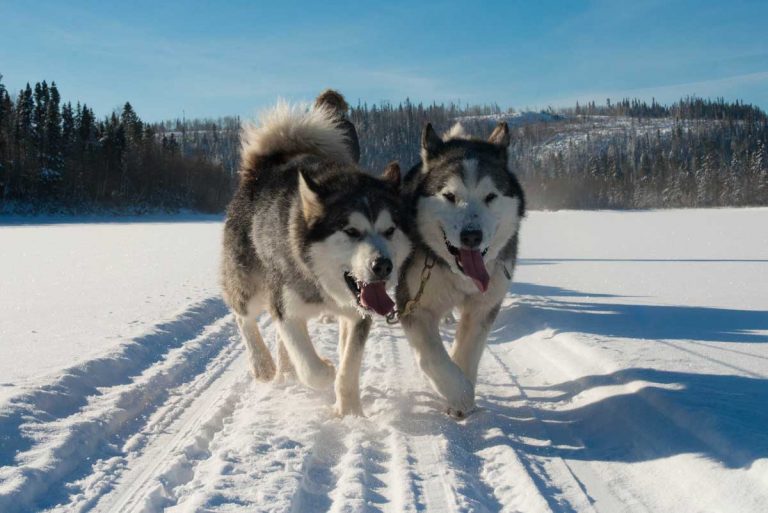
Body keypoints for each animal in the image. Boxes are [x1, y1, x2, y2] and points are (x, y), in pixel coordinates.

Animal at [220, 91, 412, 416]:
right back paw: (263, 364)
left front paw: (350, 413)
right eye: (351, 231)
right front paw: (324, 369)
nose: (383, 266)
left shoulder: (358, 315)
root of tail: (263, 168)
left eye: (390, 230)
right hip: (251, 282)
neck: (323, 284)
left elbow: (348, 366)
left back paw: (284, 368)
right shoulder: (284, 306)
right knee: (243, 316)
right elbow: (311, 367)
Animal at [392, 122, 524, 418]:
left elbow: (468, 351)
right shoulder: (414, 304)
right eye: (449, 196)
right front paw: (459, 392)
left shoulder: (484, 306)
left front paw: (463, 390)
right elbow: (433, 357)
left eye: (490, 196)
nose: (471, 236)